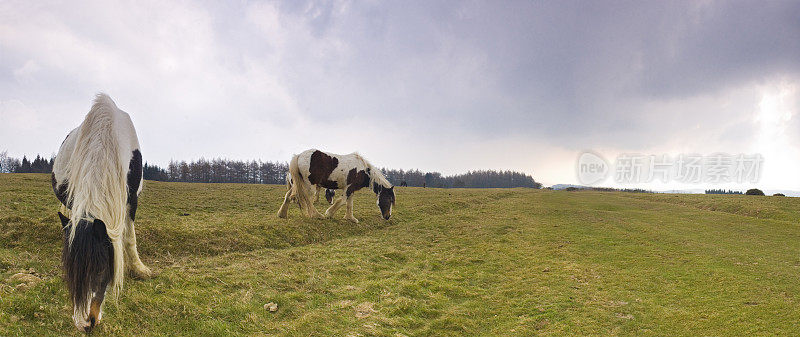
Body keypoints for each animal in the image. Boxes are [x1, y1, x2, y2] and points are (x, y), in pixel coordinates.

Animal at [50, 94, 151, 330]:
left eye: (100, 269)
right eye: (70, 273)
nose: (84, 324)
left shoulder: (131, 199)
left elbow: (129, 237)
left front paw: (138, 269)